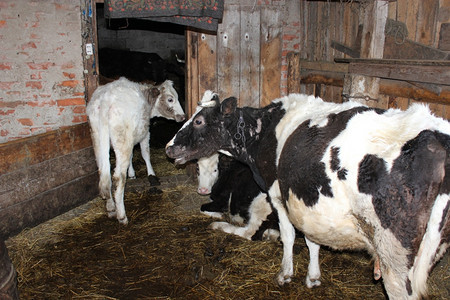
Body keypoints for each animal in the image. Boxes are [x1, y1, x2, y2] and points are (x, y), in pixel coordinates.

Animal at [87, 76, 185, 224]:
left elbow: (132, 155)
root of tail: (105, 99)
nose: (183, 116)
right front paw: (151, 175)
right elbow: (145, 153)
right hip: (122, 141)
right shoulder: (144, 133)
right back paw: (122, 216)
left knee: (104, 174)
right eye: (170, 99)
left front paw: (132, 174)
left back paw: (111, 208)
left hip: (98, 140)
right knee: (118, 177)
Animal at [168, 92, 450, 298]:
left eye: (198, 121)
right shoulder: (307, 201)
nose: (169, 147)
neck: (263, 132)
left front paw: (285, 274)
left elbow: (289, 235)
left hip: (395, 255)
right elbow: (312, 240)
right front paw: (313, 277)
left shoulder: (277, 194)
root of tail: (439, 137)